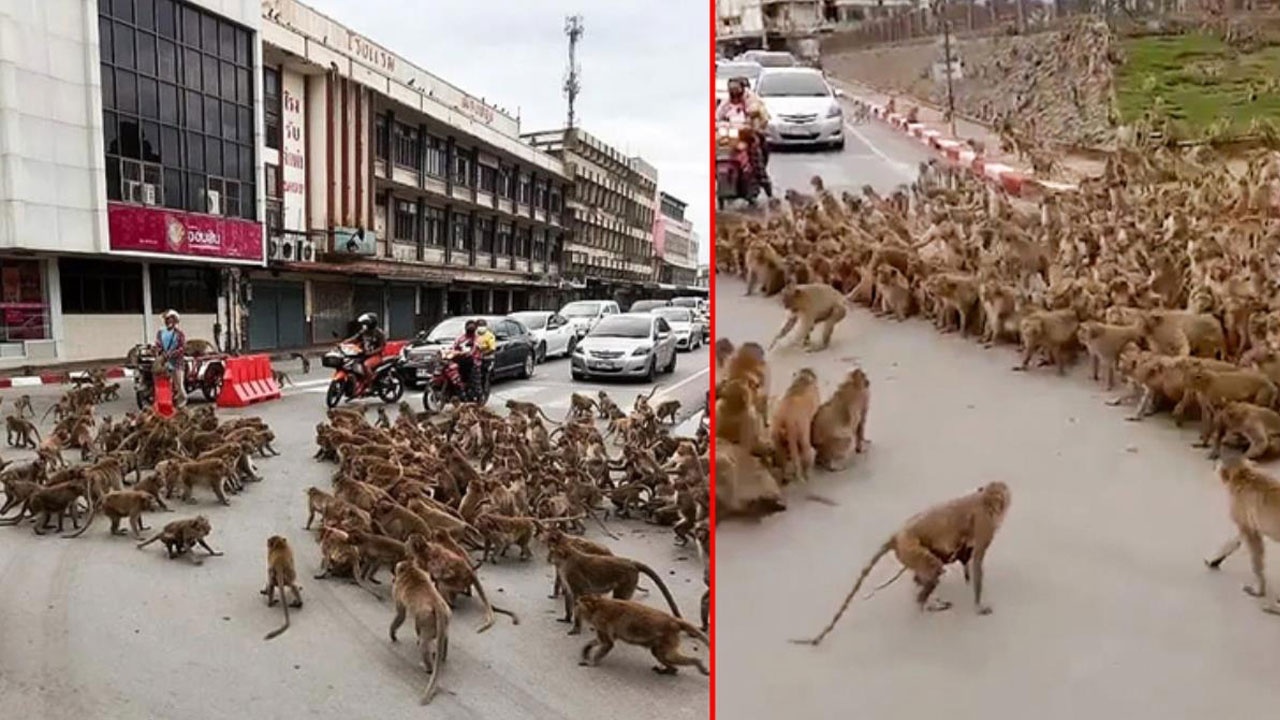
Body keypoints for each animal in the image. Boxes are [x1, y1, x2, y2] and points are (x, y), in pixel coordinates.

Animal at [386, 558, 453, 702]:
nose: (393, 577)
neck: (411, 570)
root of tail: (438, 605)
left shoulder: (397, 589)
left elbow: (401, 614)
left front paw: (392, 634)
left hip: (428, 619)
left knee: (424, 643)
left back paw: (428, 667)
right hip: (446, 617)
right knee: (443, 637)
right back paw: (442, 655)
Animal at [578, 591, 711, 676]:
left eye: (578, 604)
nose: (575, 606)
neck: (597, 605)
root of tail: (673, 620)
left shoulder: (601, 620)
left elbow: (608, 644)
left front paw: (592, 663)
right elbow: (603, 641)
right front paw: (586, 648)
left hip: (668, 636)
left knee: (666, 655)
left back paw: (696, 662)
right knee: (659, 653)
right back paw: (671, 670)